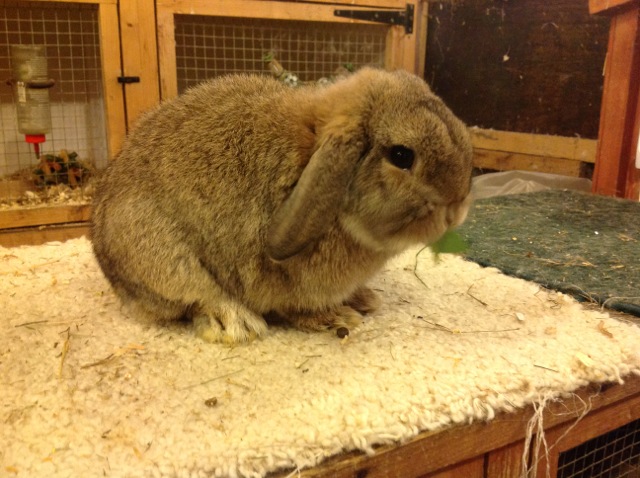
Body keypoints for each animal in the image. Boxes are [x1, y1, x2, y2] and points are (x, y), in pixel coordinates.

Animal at [91, 67, 473, 343]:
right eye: (401, 155)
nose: (456, 210)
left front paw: (363, 301)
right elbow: (295, 308)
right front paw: (338, 318)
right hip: (163, 256)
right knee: (198, 296)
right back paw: (238, 324)